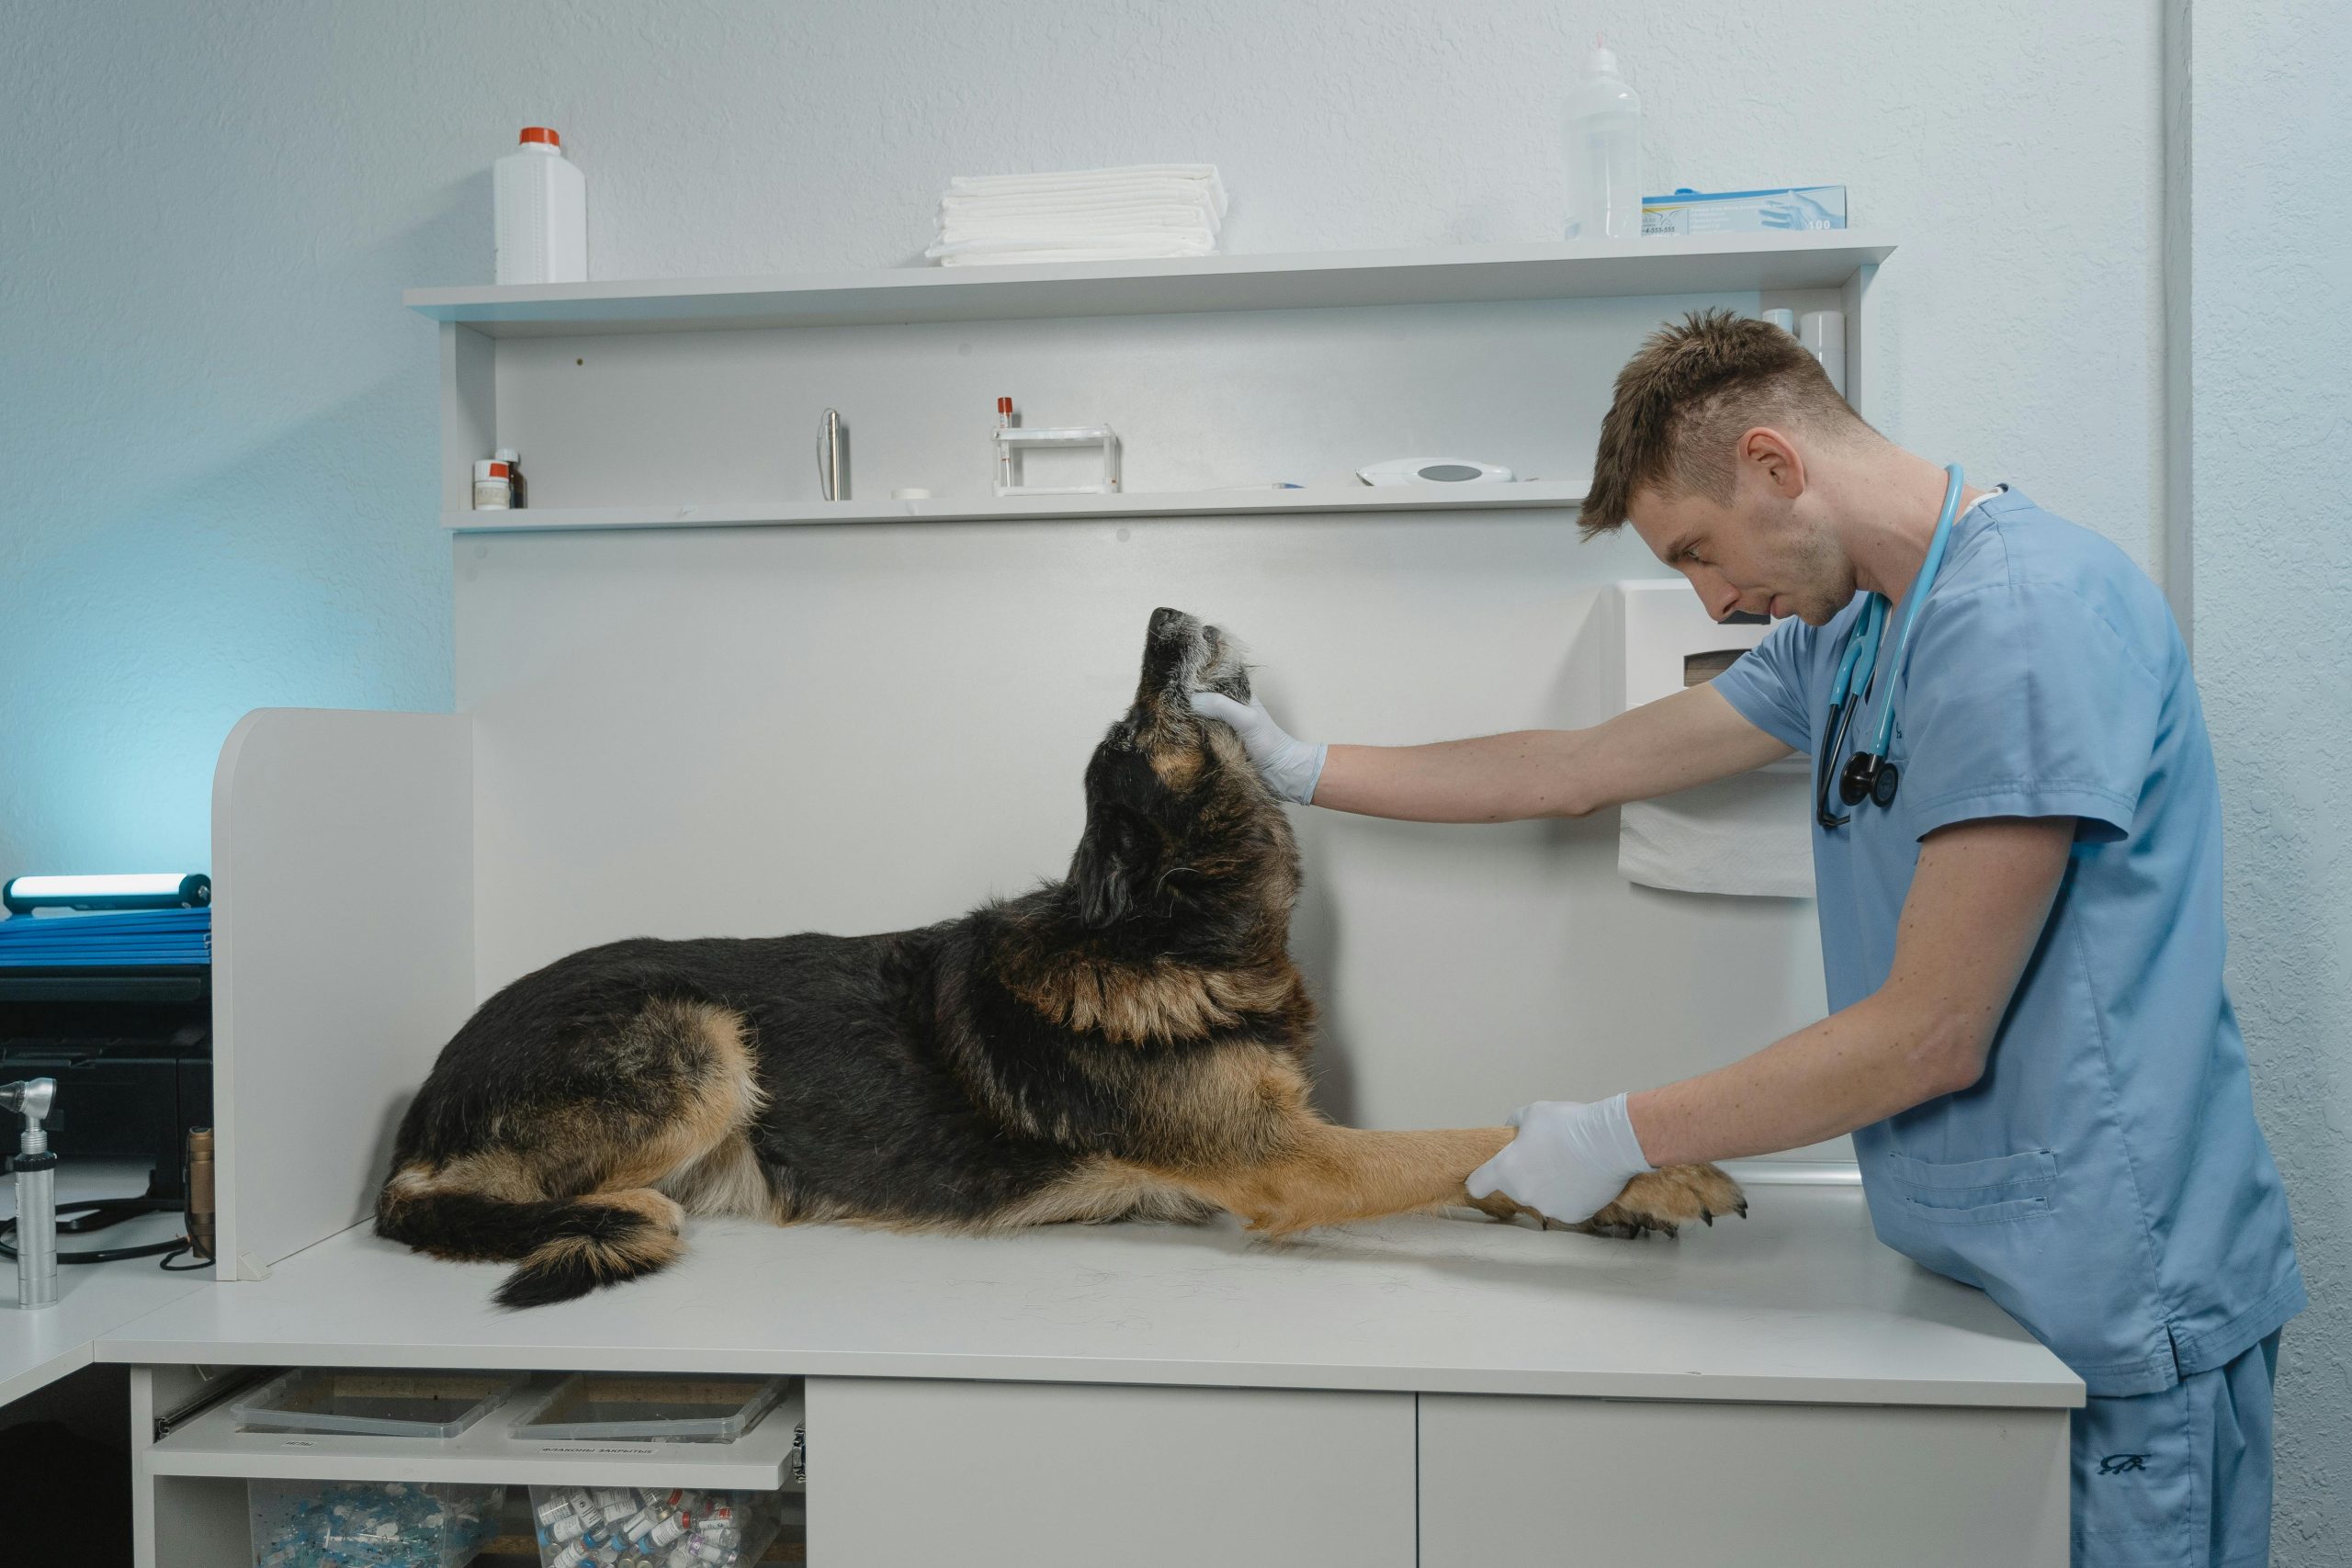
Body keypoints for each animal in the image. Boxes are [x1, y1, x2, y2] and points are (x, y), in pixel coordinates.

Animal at [371, 606, 1749, 1306]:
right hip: (698, 1042)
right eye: (1140, 724)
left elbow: (1486, 1162)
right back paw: (601, 1214)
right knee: (443, 1202)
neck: (1164, 930)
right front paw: (1645, 1166)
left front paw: (1625, 1182)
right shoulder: (1293, 1164)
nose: (1161, 612)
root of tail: (429, 1086)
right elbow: (1454, 1141)